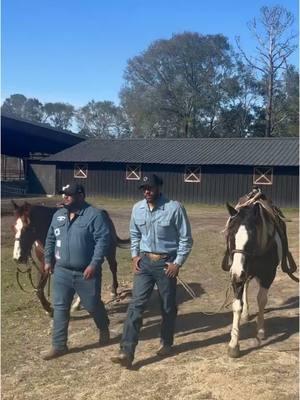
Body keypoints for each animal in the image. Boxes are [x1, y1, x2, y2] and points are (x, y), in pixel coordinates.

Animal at [223, 191, 298, 360]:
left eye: (252, 237)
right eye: (230, 235)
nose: (237, 273)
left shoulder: (268, 275)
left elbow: (262, 300)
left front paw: (260, 331)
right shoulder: (237, 275)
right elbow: (236, 305)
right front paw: (234, 345)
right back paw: (246, 313)